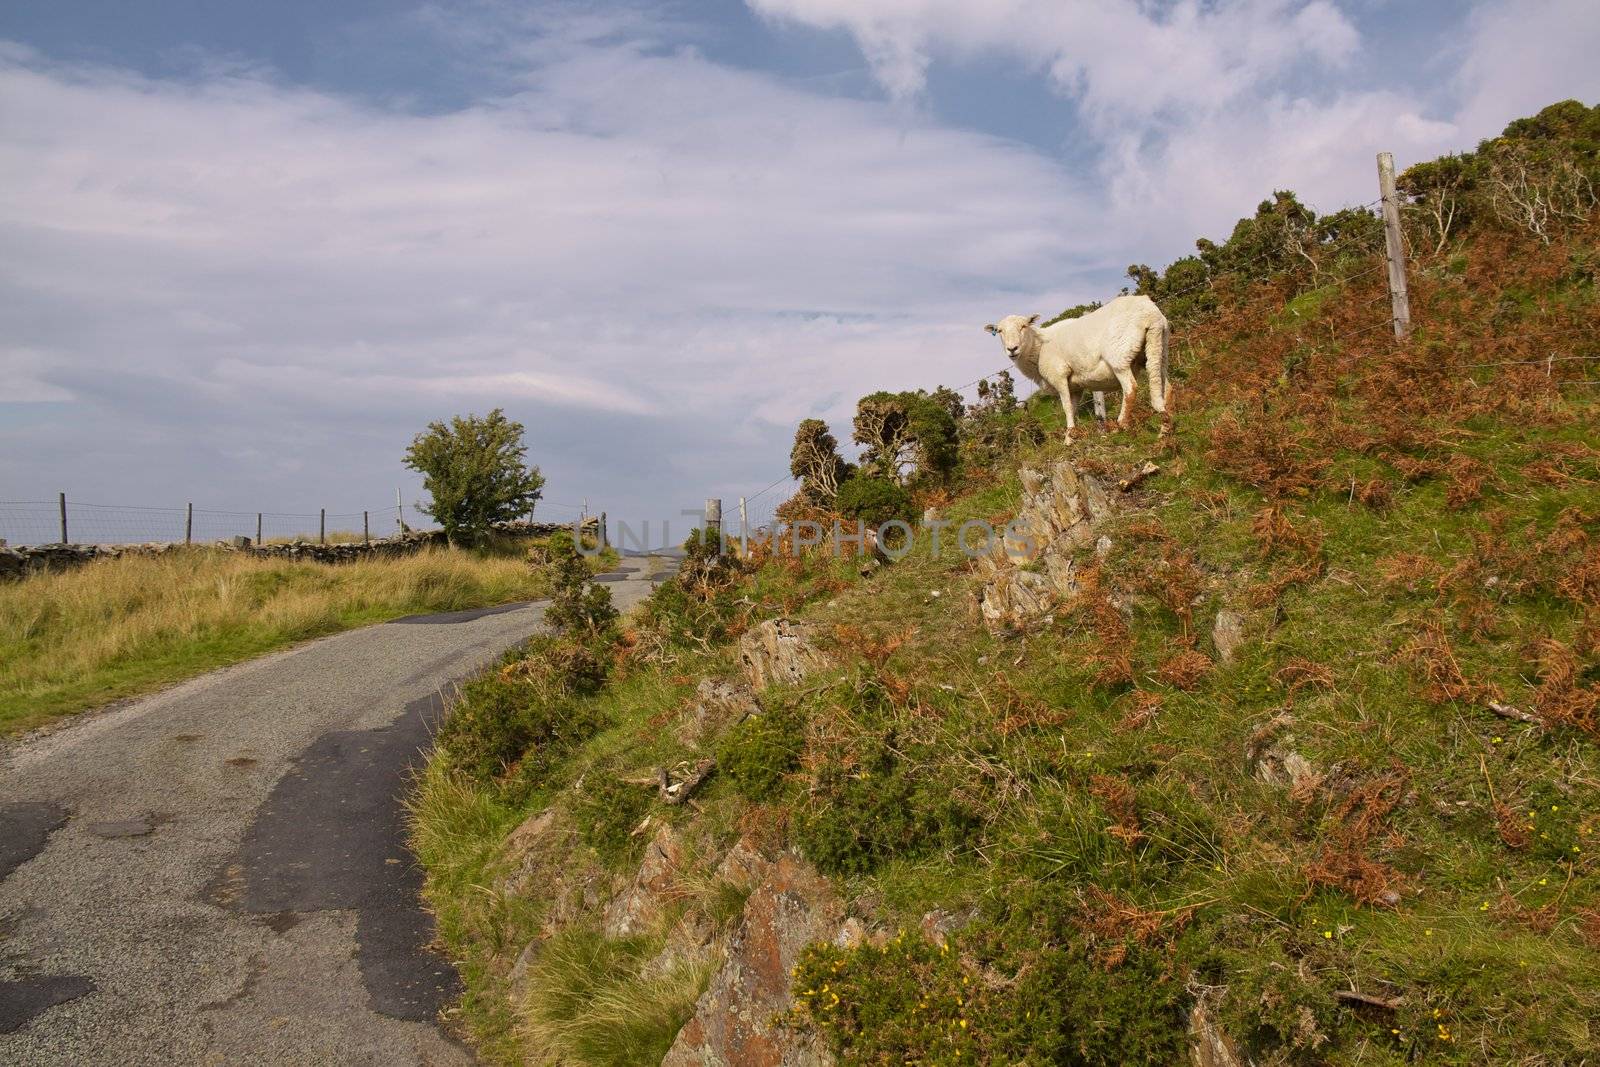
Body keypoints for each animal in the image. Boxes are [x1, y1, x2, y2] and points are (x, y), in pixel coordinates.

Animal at [979, 292, 1171, 441]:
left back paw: (1121, 424)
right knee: (1167, 387)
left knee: (1131, 388)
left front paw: (1068, 439)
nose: (1012, 349)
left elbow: (1066, 407)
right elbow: (1073, 408)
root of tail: (1149, 312)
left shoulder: (1059, 375)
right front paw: (1072, 436)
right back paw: (1165, 428)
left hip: (1119, 356)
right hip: (1159, 348)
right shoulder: (1076, 386)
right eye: (1000, 331)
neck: (1038, 347)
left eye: (1024, 326)